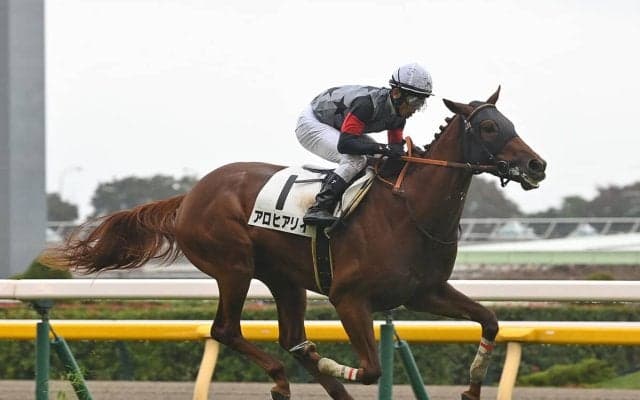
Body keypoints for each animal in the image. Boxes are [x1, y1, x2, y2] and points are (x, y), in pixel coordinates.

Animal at [41, 87, 546, 400]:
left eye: (509, 121)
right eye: (488, 128)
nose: (536, 165)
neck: (410, 209)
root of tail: (191, 195)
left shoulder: (424, 292)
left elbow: (490, 321)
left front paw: (471, 387)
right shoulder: (349, 298)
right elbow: (372, 369)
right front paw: (334, 364)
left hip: (285, 279)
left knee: (290, 338)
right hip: (234, 267)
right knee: (227, 331)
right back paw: (284, 379)